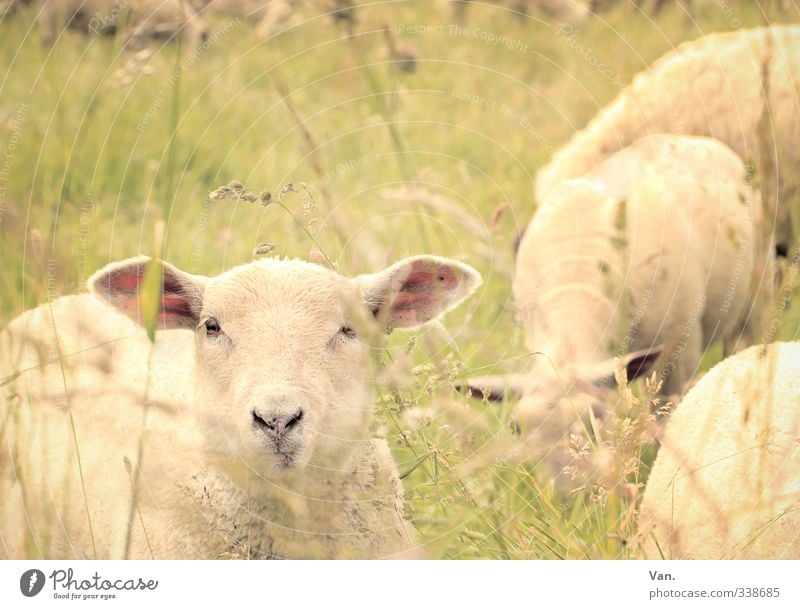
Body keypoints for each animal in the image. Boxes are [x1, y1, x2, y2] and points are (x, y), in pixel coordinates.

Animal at [466, 134, 764, 470]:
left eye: (595, 418)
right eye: (516, 428)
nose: (564, 484)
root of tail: (685, 138)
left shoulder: (679, 350)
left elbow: (666, 422)